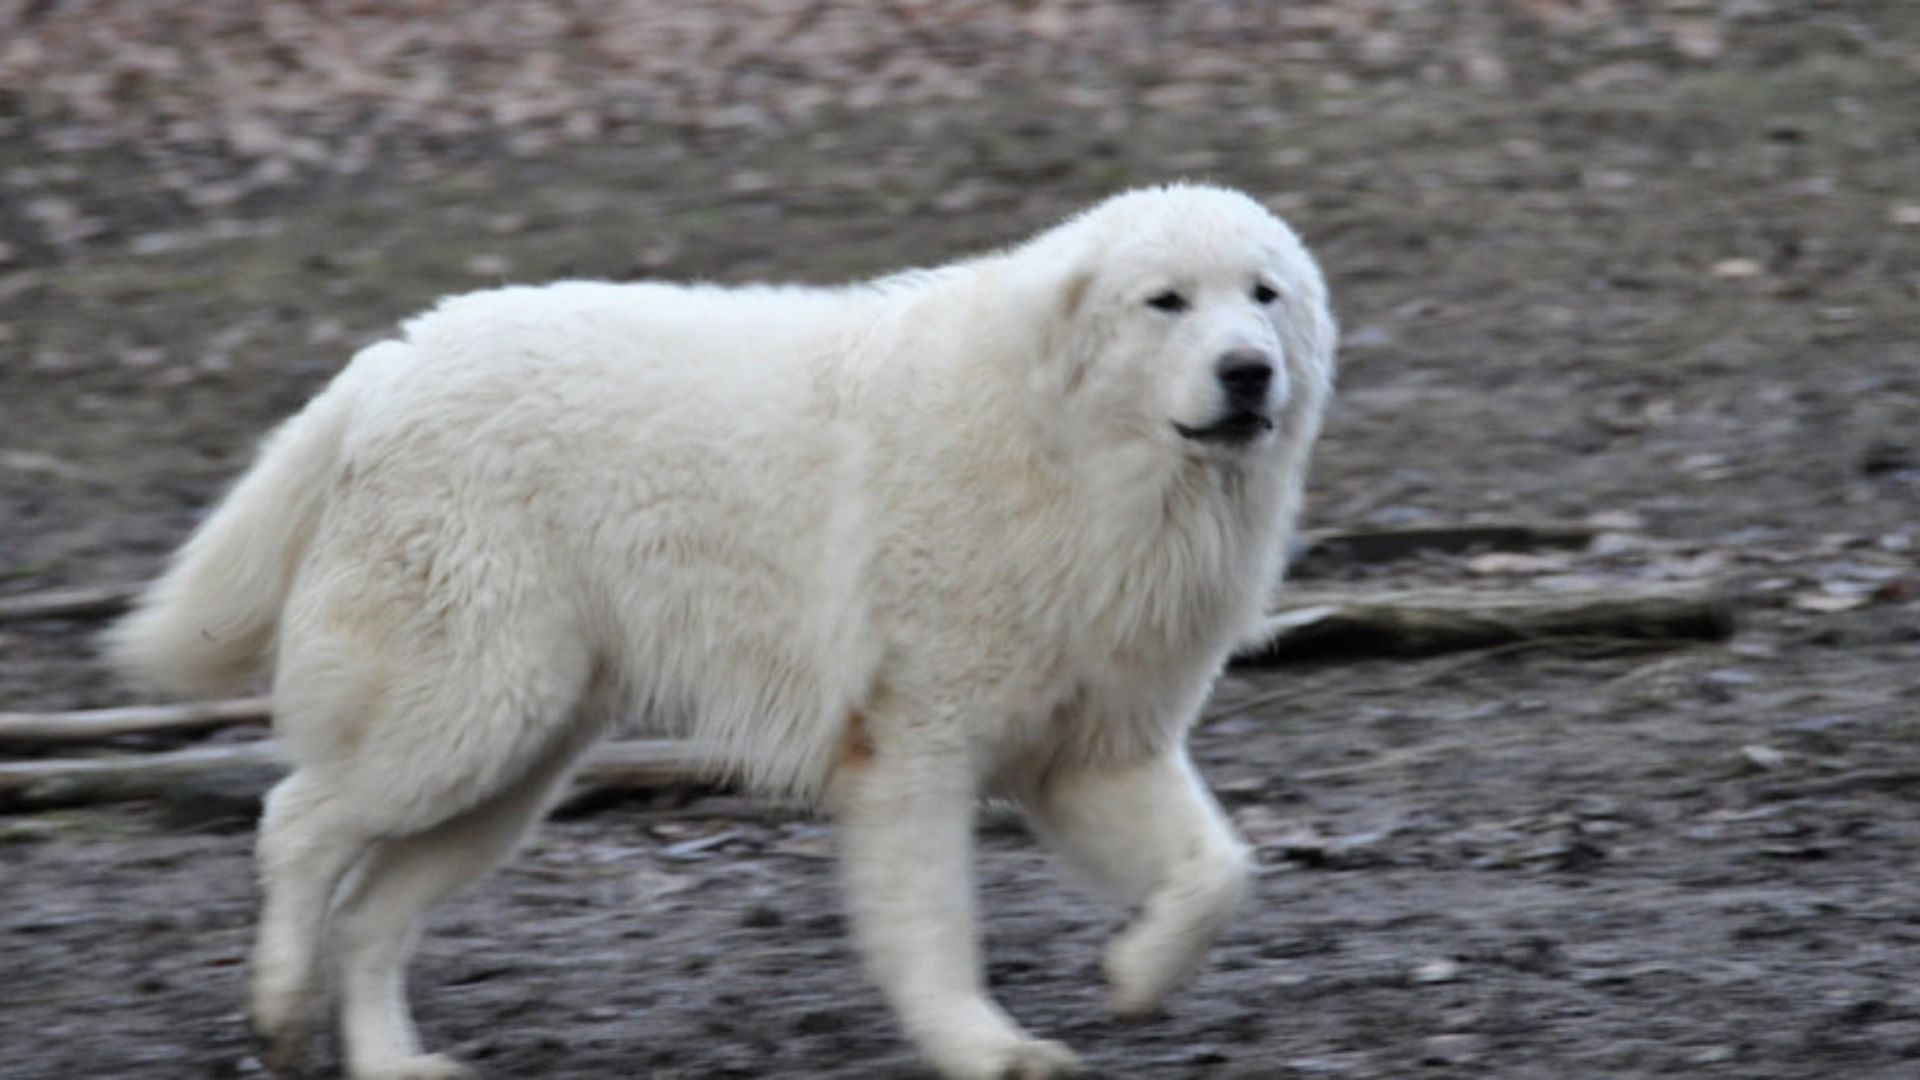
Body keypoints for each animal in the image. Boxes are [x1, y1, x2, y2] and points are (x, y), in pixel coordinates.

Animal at [105, 184, 1336, 1076]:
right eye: (1166, 302)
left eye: (1263, 295)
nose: (1248, 373)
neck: (1074, 454)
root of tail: (389, 362)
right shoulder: (917, 751)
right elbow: (937, 928)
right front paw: (986, 1049)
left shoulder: (1094, 754)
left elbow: (1219, 873)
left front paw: (1137, 977)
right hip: (468, 719)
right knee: (295, 823)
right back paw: (276, 1010)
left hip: (515, 767)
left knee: (366, 916)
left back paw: (391, 1063)